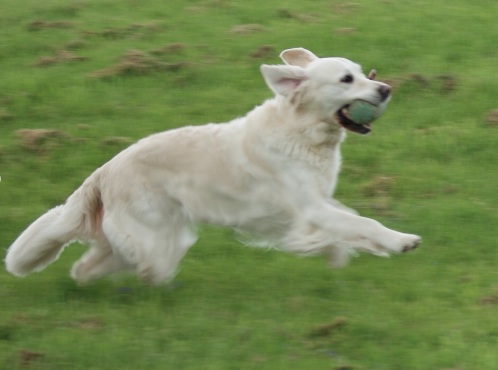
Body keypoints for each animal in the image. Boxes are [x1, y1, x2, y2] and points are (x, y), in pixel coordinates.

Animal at [4, 46, 420, 284]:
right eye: (347, 79)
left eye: (364, 73)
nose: (385, 89)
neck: (302, 130)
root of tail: (103, 171)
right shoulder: (310, 206)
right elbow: (361, 223)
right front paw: (400, 241)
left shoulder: (318, 202)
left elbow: (347, 225)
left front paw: (335, 253)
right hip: (156, 240)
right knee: (121, 267)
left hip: (159, 237)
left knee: (91, 266)